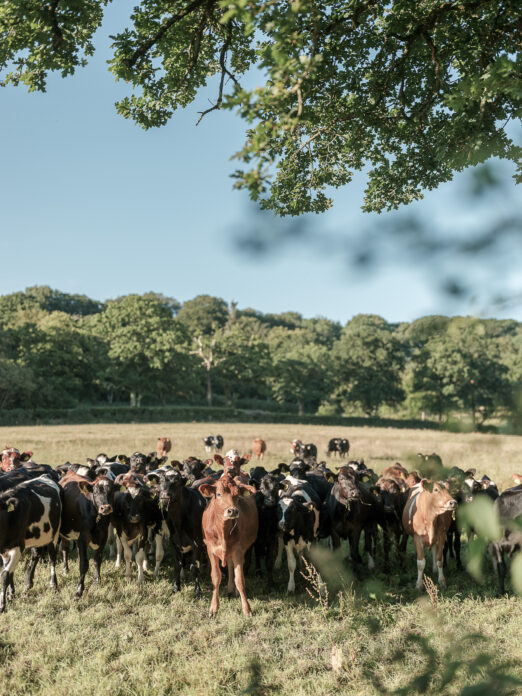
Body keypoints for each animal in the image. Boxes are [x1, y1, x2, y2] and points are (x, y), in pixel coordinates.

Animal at [0, 476, 61, 612]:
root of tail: (45, 476)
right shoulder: (3, 551)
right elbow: (9, 571)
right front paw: (11, 595)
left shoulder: (18, 547)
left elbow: (5, 574)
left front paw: (2, 605)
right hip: (37, 537)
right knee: (35, 554)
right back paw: (28, 584)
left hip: (54, 534)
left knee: (52, 557)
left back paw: (53, 585)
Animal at [198, 474, 256, 616]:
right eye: (218, 494)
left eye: (237, 495)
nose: (232, 511)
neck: (222, 530)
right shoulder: (211, 550)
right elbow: (216, 577)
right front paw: (213, 608)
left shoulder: (238, 551)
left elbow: (240, 580)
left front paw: (247, 609)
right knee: (229, 565)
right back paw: (230, 589)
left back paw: (233, 590)